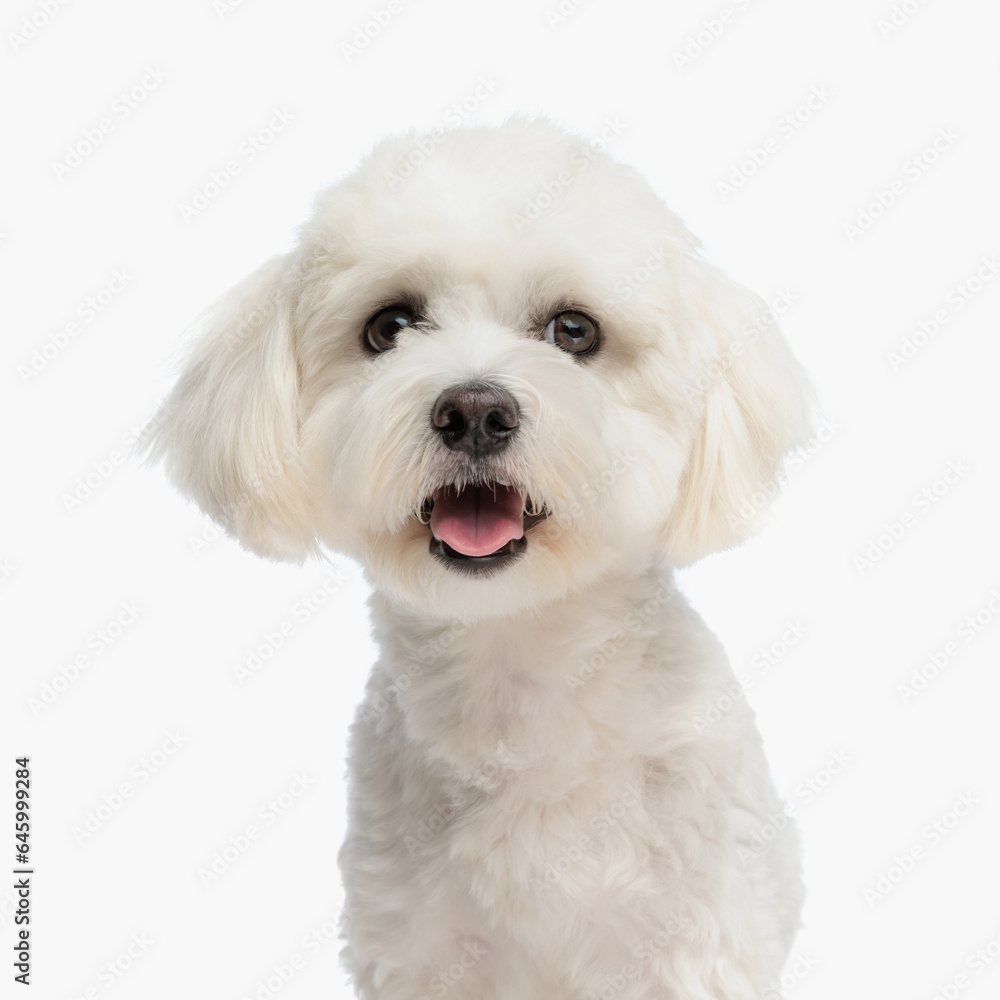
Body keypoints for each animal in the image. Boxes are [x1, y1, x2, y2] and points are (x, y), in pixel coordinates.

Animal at [146, 119, 812, 1000]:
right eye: (390, 327)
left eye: (574, 330)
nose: (473, 410)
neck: (522, 680)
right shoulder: (418, 948)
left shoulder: (697, 941)